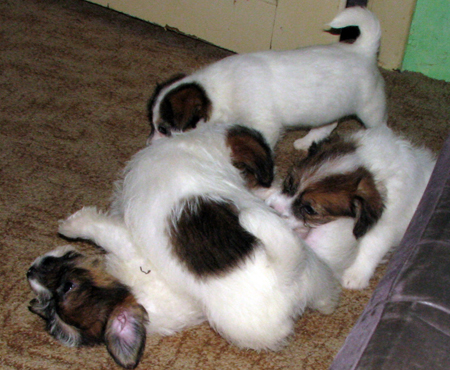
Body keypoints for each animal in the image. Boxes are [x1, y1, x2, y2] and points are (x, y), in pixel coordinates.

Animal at [33, 123, 340, 368]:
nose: (31, 271)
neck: (196, 149)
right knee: (326, 295)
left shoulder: (128, 239)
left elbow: (101, 228)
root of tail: (285, 275)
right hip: (316, 276)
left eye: (68, 287)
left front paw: (72, 224)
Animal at [148, 7, 386, 149]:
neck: (216, 92)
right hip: (328, 107)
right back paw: (307, 141)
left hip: (370, 108)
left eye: (164, 129)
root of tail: (363, 50)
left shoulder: (264, 125)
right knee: (328, 123)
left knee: (380, 124)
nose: (148, 144)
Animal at [266, 126, 434, 290]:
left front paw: (355, 275)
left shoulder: (386, 225)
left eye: (309, 210)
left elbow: (372, 246)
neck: (369, 166)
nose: (271, 208)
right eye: (289, 184)